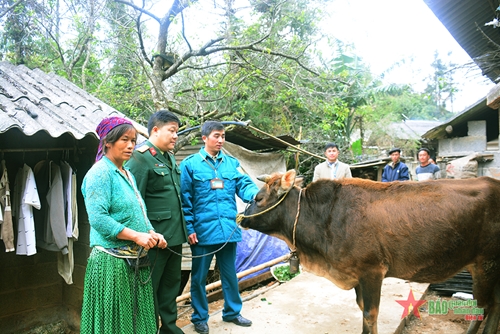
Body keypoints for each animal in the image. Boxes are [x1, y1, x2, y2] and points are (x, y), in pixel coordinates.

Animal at [238, 171, 500, 332]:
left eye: (259, 198)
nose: (241, 218)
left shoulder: (372, 271)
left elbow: (369, 315)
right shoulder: (357, 277)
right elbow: (363, 309)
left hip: (486, 264)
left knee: (486, 306)